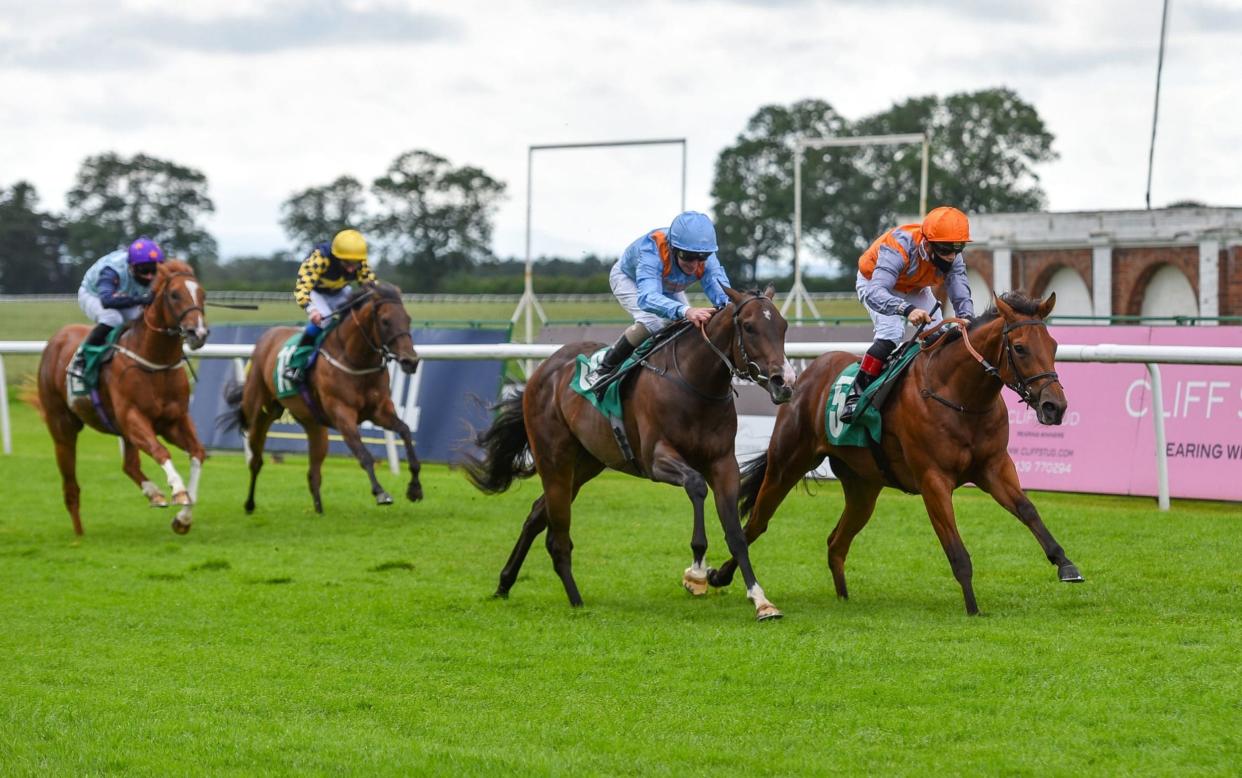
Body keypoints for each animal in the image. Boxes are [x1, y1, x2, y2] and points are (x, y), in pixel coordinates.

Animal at [35, 260, 211, 531]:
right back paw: (79, 534)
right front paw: (179, 491)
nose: (198, 333)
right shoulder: (133, 417)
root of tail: (56, 339)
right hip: (62, 427)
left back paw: (153, 493)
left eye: (202, 294)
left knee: (129, 465)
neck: (155, 363)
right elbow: (160, 451)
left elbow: (198, 453)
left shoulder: (173, 420)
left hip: (120, 429)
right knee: (70, 486)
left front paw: (183, 518)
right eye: (174, 294)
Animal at [228, 282, 427, 512]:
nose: (410, 361)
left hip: (313, 424)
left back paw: (319, 511)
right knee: (256, 460)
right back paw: (250, 504)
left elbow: (405, 431)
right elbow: (364, 455)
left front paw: (415, 488)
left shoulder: (380, 411)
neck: (354, 359)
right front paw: (380, 492)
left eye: (408, 319)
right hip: (261, 412)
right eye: (385, 321)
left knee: (313, 473)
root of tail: (267, 336)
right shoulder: (342, 414)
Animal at [464, 284, 794, 618]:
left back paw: (504, 583)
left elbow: (737, 534)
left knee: (536, 514)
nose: (785, 382)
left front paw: (761, 600)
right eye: (749, 327)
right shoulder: (656, 459)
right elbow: (696, 485)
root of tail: (544, 368)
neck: (695, 383)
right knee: (558, 536)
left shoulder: (723, 464)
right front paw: (697, 571)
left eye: (783, 326)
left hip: (585, 464)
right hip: (554, 459)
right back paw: (576, 600)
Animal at [715, 290, 1083, 611]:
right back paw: (720, 577)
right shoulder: (933, 480)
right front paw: (973, 608)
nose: (1055, 406)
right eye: (1019, 348)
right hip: (786, 464)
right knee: (756, 524)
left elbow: (1027, 509)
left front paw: (1065, 564)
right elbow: (956, 550)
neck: (961, 397)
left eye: (1053, 345)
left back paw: (843, 598)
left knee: (836, 542)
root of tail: (807, 375)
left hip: (863, 487)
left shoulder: (993, 467)